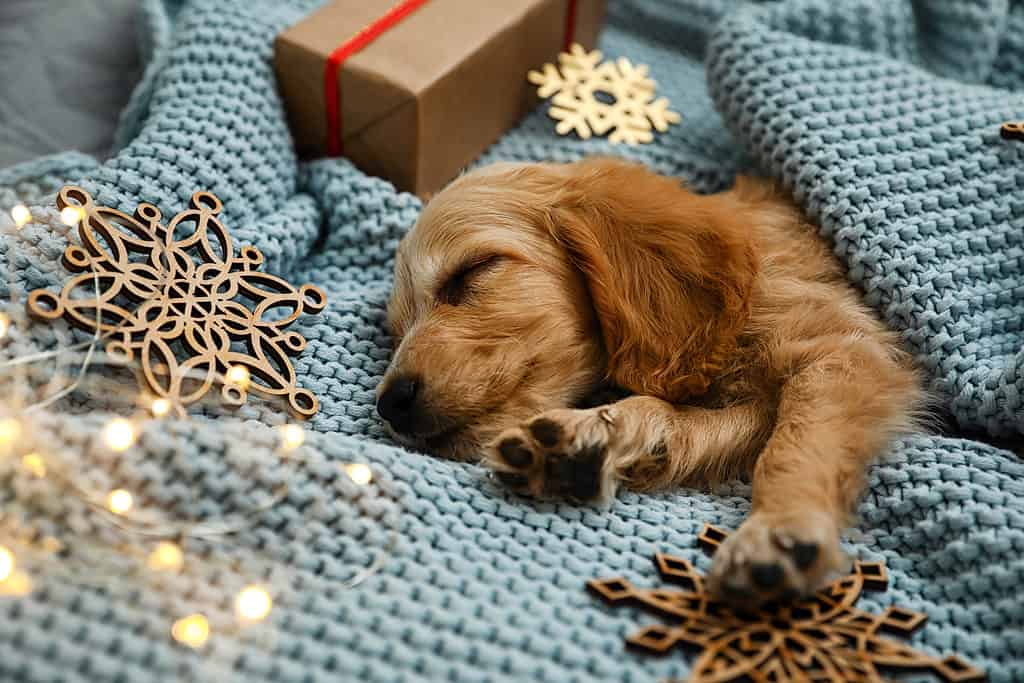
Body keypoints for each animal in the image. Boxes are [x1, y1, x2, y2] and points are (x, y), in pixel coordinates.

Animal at [380, 158, 925, 602]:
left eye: (472, 272)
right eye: (397, 330)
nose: (390, 403)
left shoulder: (844, 351)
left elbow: (790, 445)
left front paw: (781, 527)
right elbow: (693, 420)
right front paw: (593, 435)